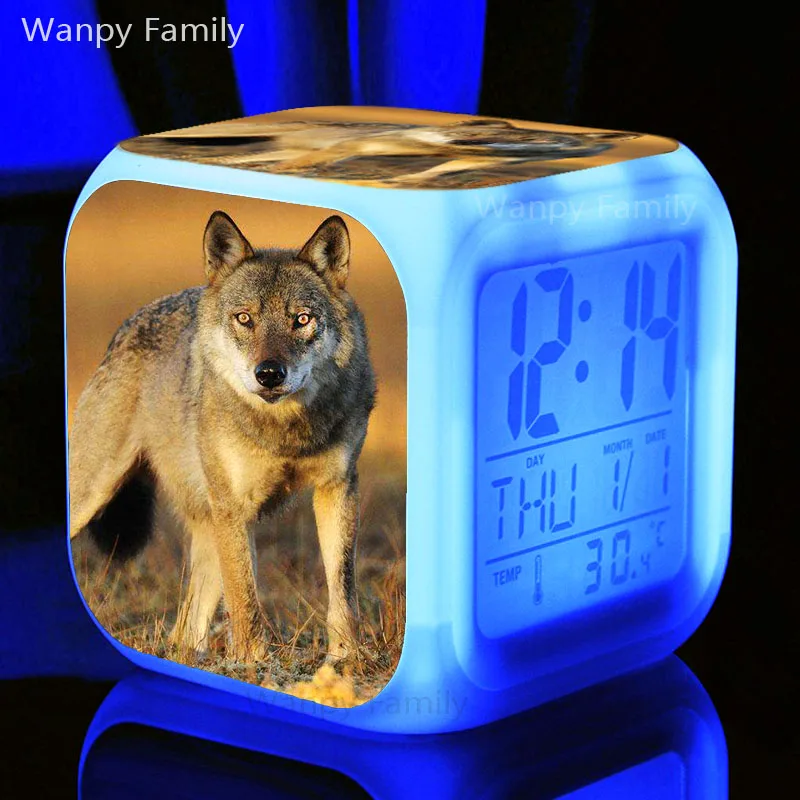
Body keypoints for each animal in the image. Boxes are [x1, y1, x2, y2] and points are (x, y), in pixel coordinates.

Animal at [68, 212, 376, 664]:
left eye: (301, 319)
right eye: (244, 318)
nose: (269, 374)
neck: (283, 431)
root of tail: (124, 329)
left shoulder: (338, 487)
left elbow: (343, 588)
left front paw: (346, 659)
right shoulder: (235, 506)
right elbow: (245, 599)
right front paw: (252, 664)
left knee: (183, 631)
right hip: (95, 495)